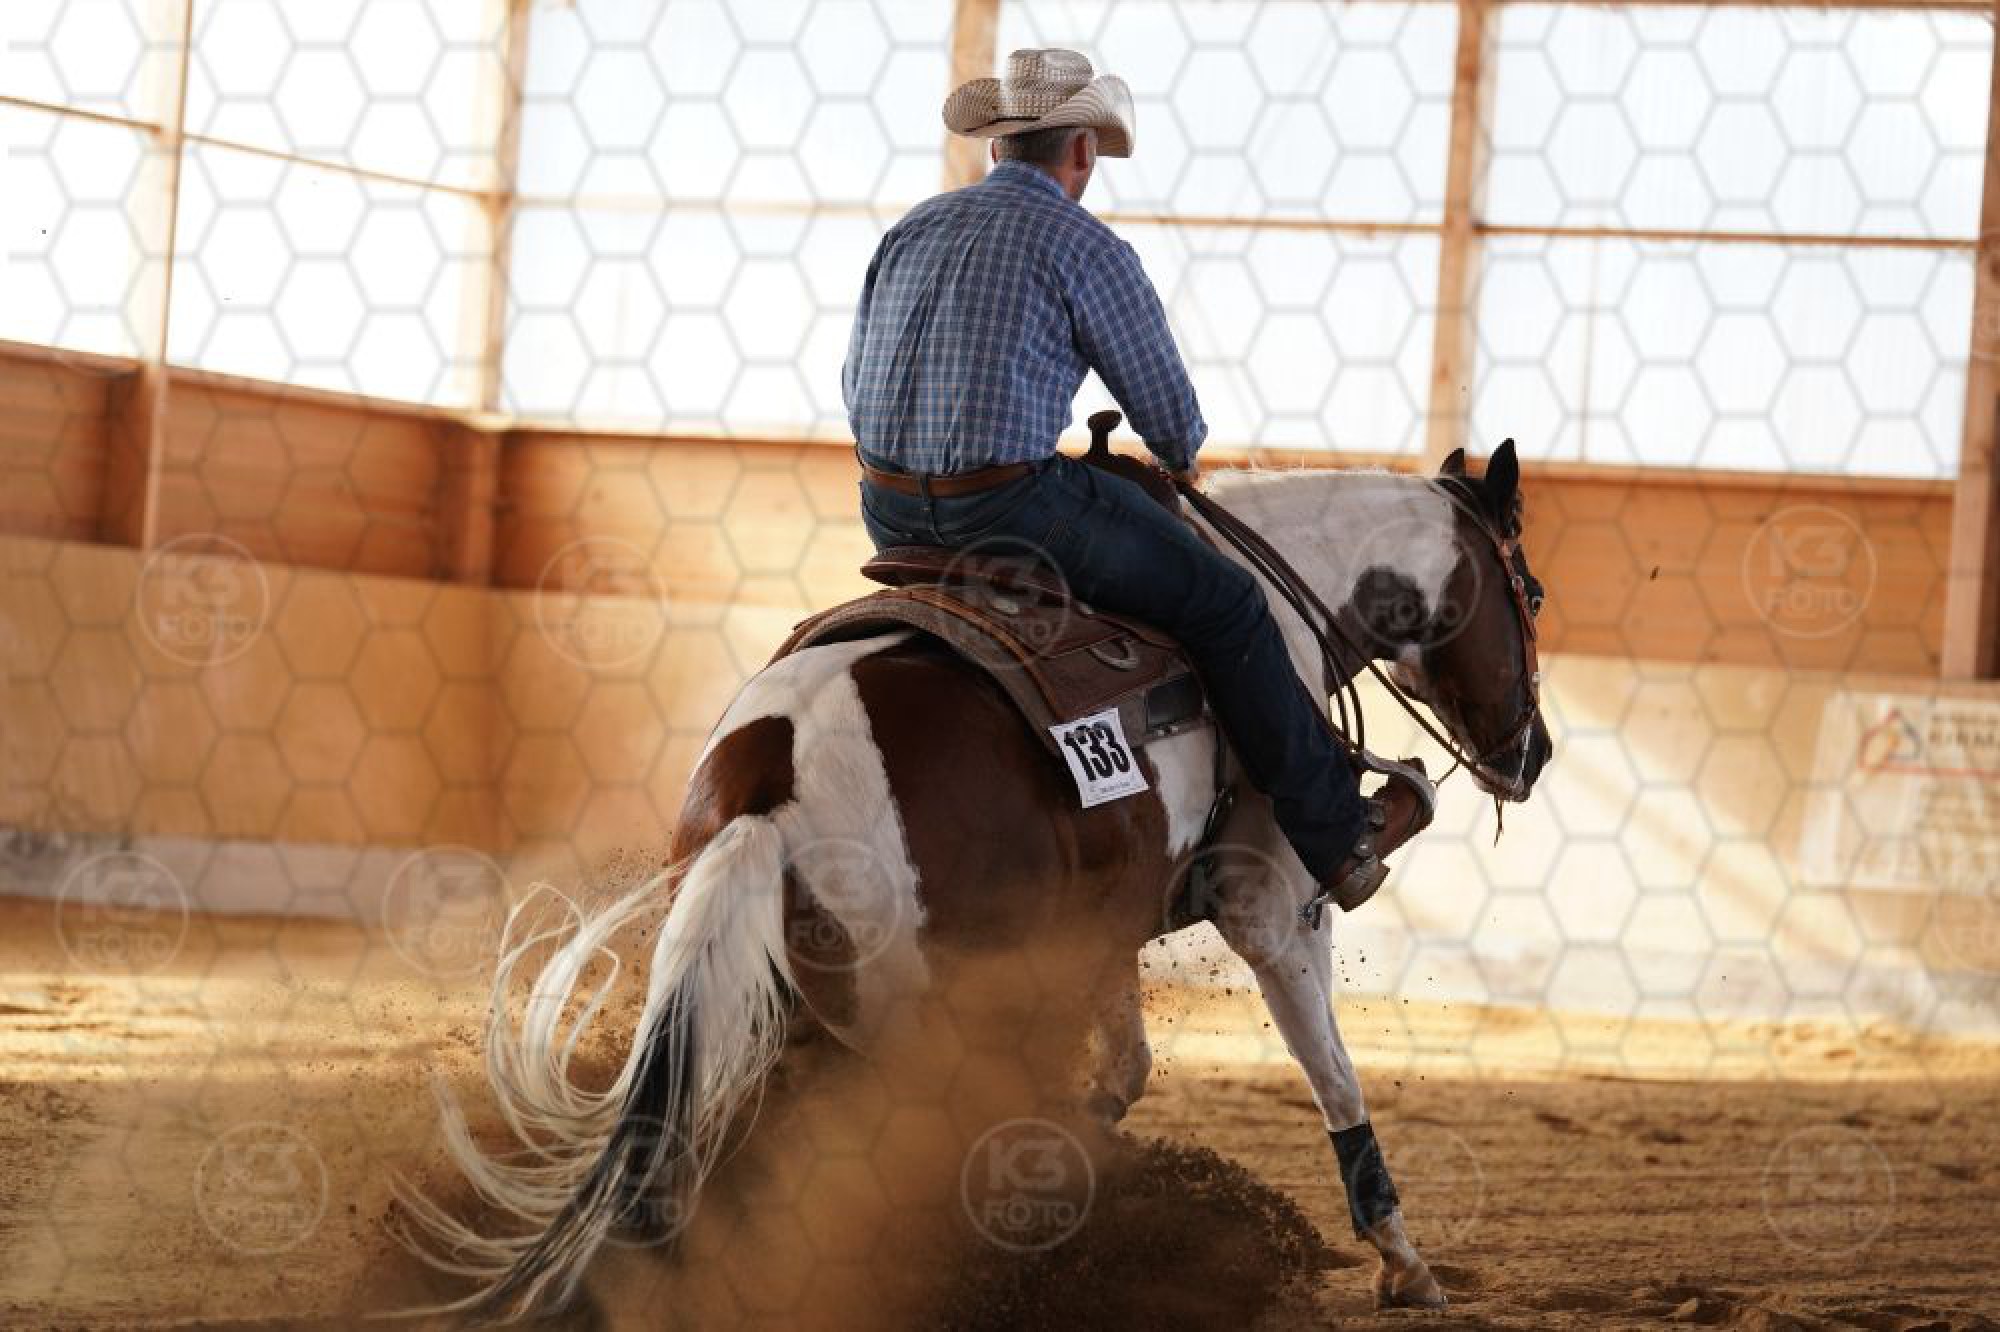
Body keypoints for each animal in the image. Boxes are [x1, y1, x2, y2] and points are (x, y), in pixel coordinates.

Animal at [397, 440, 1553, 1319]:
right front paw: (1403, 1261)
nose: (1533, 754)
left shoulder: (1095, 928)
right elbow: (1334, 1075)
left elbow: (1122, 1072)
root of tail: (767, 781)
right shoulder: (1271, 904)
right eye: (1531, 593)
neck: (1281, 599)